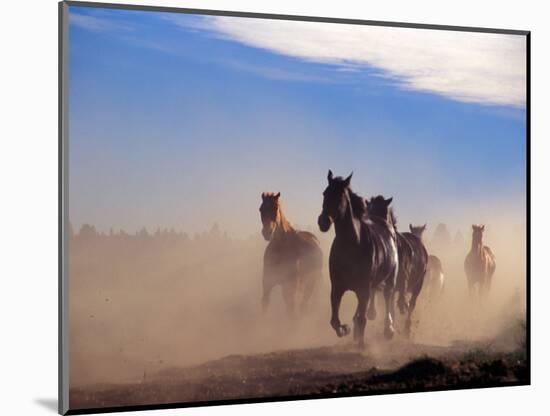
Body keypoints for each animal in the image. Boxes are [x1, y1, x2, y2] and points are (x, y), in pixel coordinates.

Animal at [316, 171, 398, 346]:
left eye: (340, 195)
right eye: (325, 193)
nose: (323, 222)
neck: (352, 245)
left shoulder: (364, 288)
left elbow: (362, 318)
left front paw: (360, 342)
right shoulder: (337, 287)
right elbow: (334, 320)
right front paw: (345, 329)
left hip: (389, 281)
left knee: (387, 298)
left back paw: (388, 330)